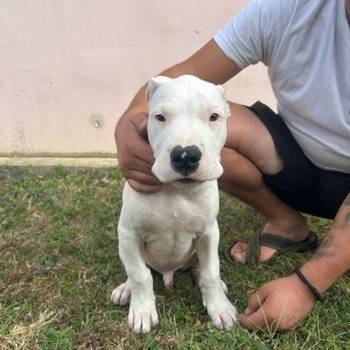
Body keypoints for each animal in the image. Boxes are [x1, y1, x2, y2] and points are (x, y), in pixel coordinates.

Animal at [112, 75, 238, 332]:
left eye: (214, 117)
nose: (186, 156)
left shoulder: (209, 232)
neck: (177, 191)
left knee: (202, 269)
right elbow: (139, 275)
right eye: (160, 117)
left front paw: (219, 308)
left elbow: (211, 272)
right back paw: (125, 289)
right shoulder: (129, 233)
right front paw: (142, 311)